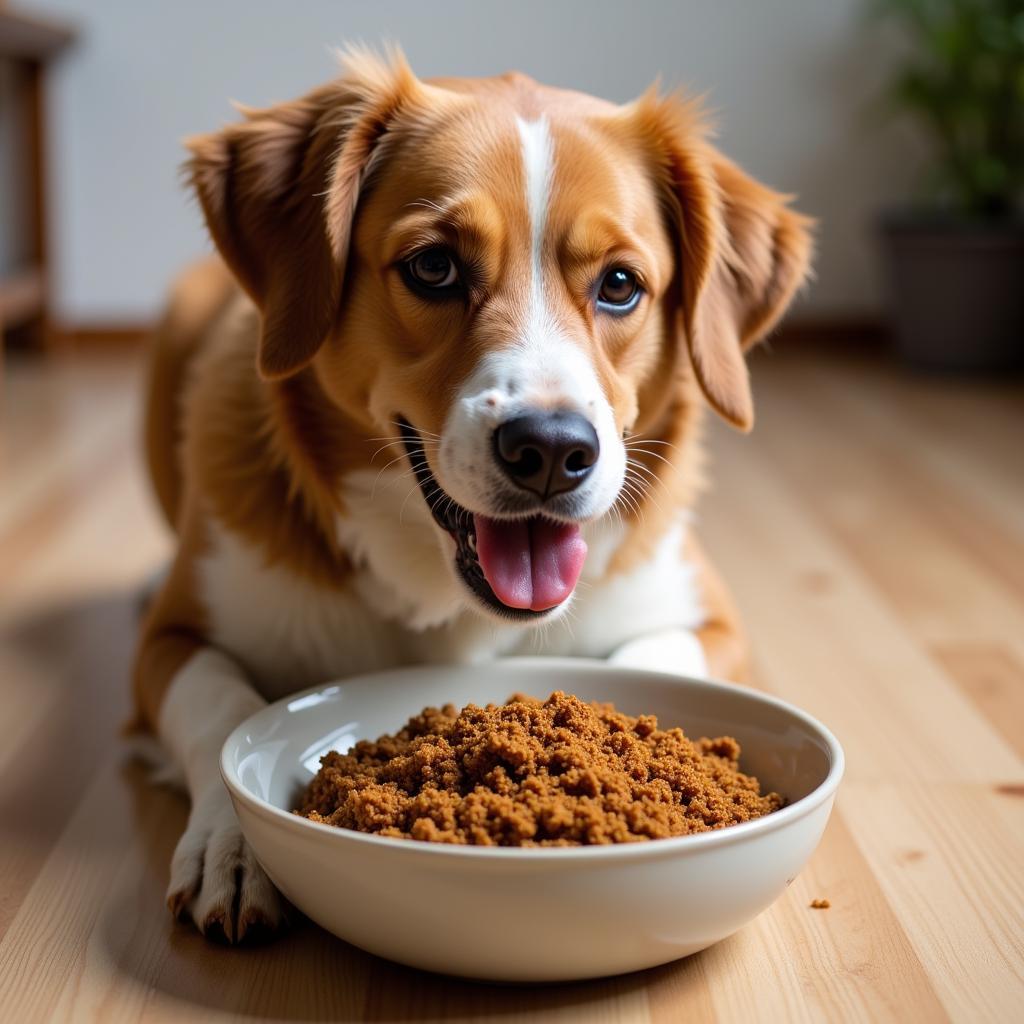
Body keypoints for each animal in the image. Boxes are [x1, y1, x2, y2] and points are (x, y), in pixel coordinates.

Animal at [132, 48, 811, 942]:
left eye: (621, 284)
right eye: (434, 267)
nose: (552, 452)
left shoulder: (710, 622)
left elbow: (648, 668)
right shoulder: (171, 641)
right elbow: (220, 707)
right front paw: (233, 842)